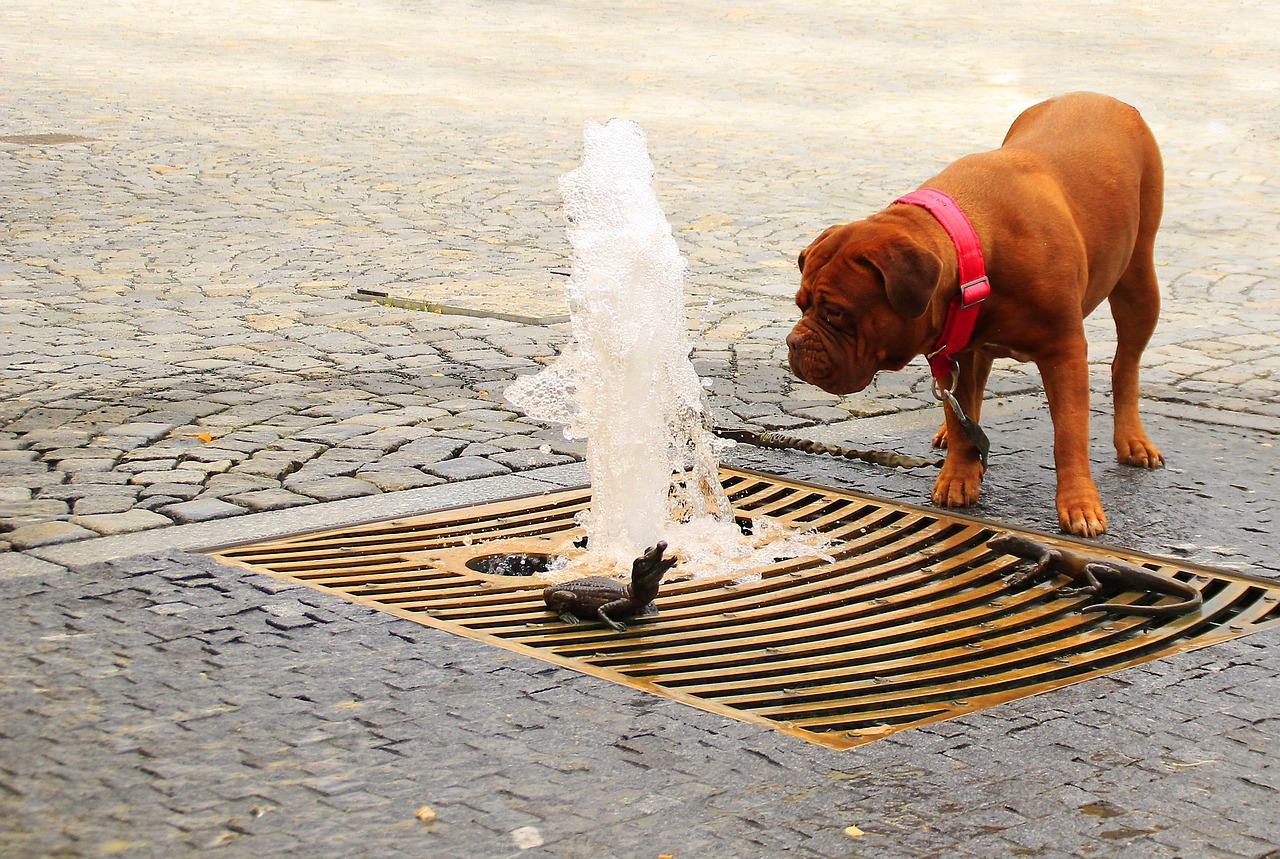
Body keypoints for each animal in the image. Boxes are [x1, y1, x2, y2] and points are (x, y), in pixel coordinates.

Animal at [783, 94, 1167, 537]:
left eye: (835, 314)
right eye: (801, 305)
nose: (794, 342)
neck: (973, 246)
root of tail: (1104, 97)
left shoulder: (1064, 352)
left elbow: (1069, 436)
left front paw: (1079, 503)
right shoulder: (954, 347)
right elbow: (958, 408)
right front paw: (958, 476)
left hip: (1139, 282)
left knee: (1126, 363)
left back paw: (1132, 438)